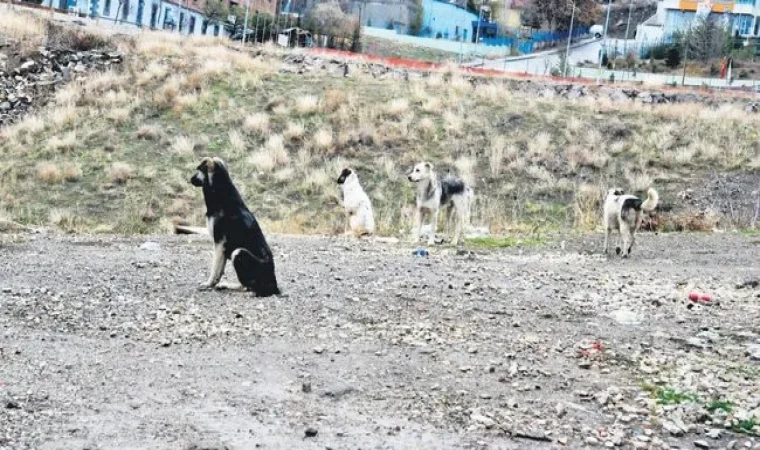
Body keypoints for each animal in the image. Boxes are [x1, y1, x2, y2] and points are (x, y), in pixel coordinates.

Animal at [190, 156, 282, 298]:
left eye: (199, 169)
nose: (190, 179)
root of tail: (274, 285)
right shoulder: (222, 247)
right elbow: (219, 269)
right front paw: (214, 283)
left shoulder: (219, 243)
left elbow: (214, 267)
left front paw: (208, 283)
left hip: (238, 252)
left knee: (249, 286)